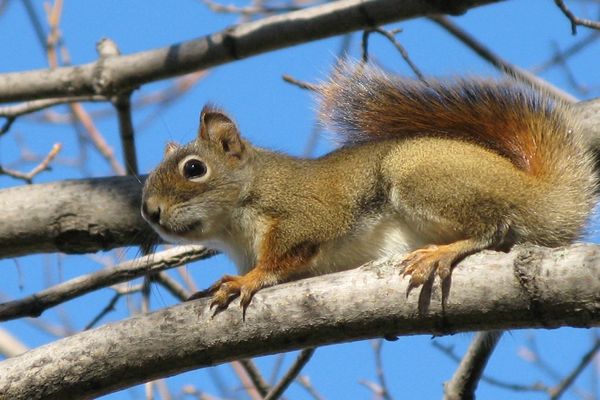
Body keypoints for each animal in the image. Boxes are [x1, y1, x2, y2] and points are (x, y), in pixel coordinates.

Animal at [141, 61, 596, 316]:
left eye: (194, 169)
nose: (150, 212)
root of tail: (539, 196)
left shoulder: (304, 213)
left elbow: (283, 256)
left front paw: (245, 280)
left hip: (420, 177)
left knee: (495, 227)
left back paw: (441, 252)